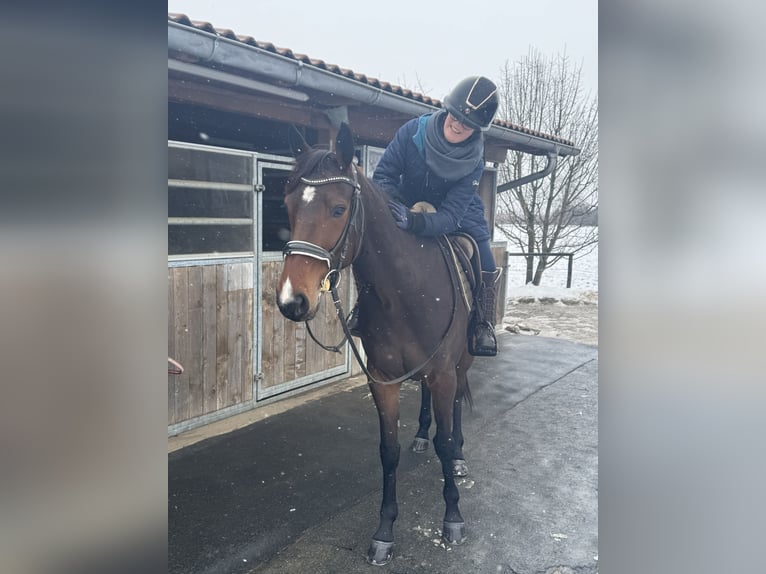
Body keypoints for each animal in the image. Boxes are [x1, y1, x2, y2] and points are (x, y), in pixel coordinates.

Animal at [276, 123, 476, 565]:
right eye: (288, 206)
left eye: (338, 209)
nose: (292, 301)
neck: (404, 292)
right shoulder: (383, 379)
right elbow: (388, 451)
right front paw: (384, 532)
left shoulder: (443, 373)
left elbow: (445, 440)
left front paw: (453, 517)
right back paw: (421, 434)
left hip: (461, 364)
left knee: (455, 410)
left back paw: (458, 457)